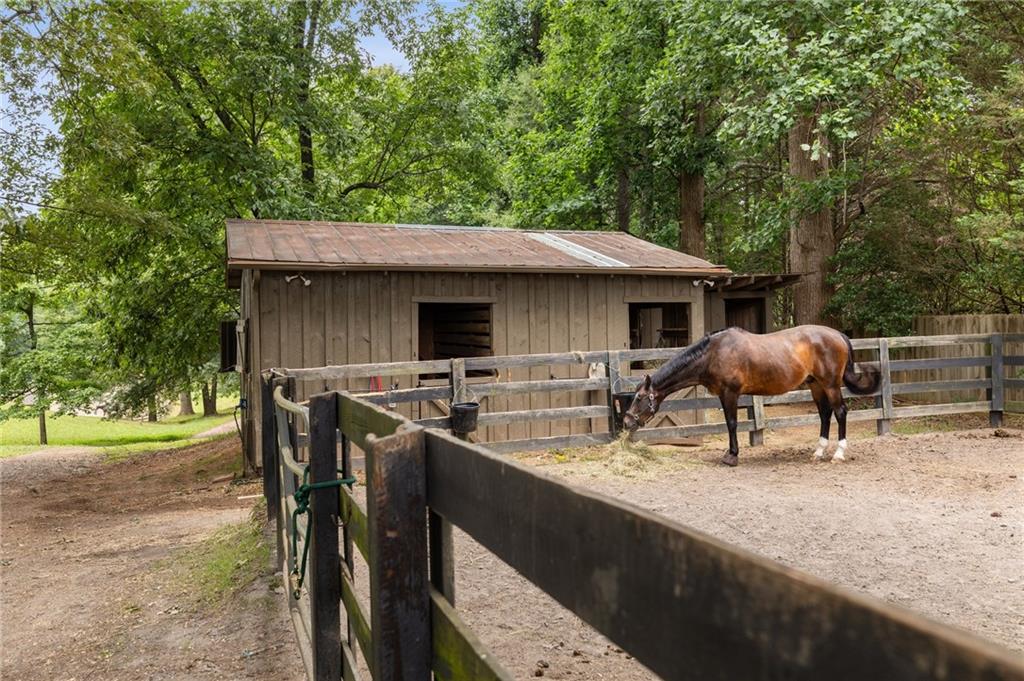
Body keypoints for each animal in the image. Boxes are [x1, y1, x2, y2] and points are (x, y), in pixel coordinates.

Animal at [618, 325, 884, 464]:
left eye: (639, 398)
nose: (627, 421)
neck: (713, 354)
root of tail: (838, 335)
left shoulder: (730, 394)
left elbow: (732, 423)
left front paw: (732, 456)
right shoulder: (723, 395)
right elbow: (730, 424)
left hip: (830, 385)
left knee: (840, 412)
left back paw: (838, 453)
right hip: (816, 385)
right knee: (825, 415)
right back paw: (818, 452)